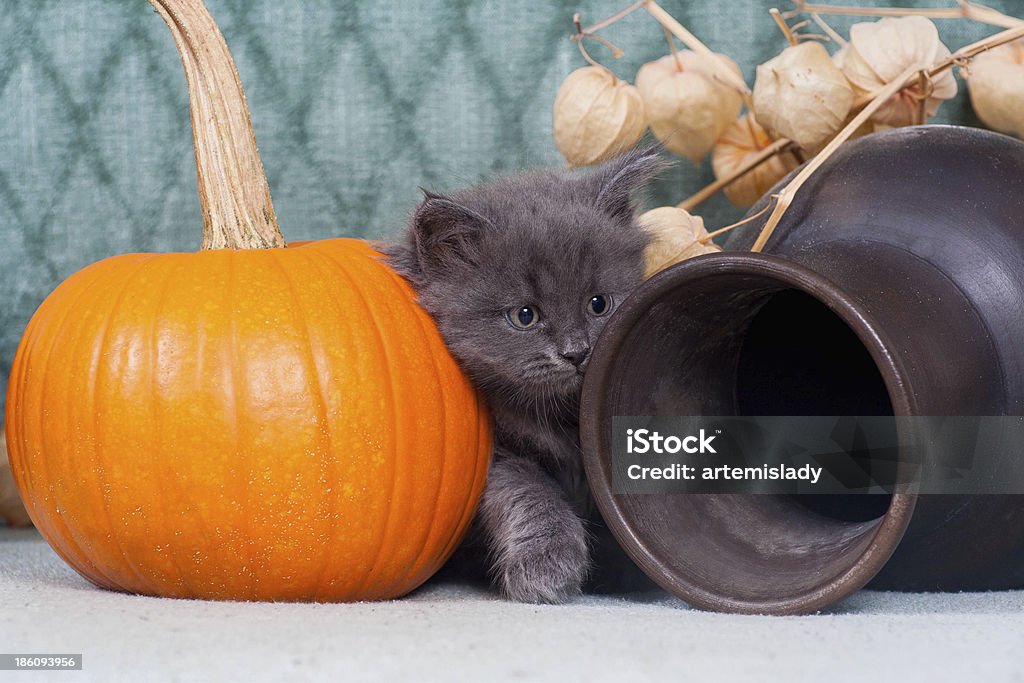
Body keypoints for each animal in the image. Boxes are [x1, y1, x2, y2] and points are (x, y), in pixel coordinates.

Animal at [385, 147, 663, 602]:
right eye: (525, 316)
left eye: (599, 304)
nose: (576, 352)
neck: (558, 416)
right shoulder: (495, 458)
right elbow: (530, 494)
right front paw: (548, 567)